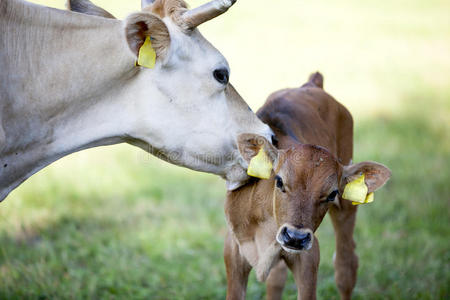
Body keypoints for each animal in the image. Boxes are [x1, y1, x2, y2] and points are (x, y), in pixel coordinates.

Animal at [224, 73, 390, 300]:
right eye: (279, 181)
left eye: (332, 194)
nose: (296, 237)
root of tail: (312, 83)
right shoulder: (233, 248)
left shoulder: (309, 255)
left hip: (347, 208)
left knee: (346, 266)